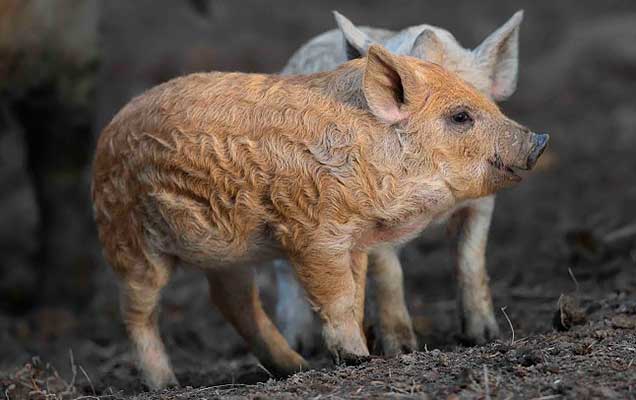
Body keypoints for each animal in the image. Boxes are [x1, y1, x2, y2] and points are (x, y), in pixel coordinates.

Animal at [276, 9, 524, 354]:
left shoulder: (482, 202)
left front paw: (486, 337)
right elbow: (389, 272)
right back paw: (299, 347)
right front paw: (402, 349)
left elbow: (470, 261)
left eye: (468, 111)